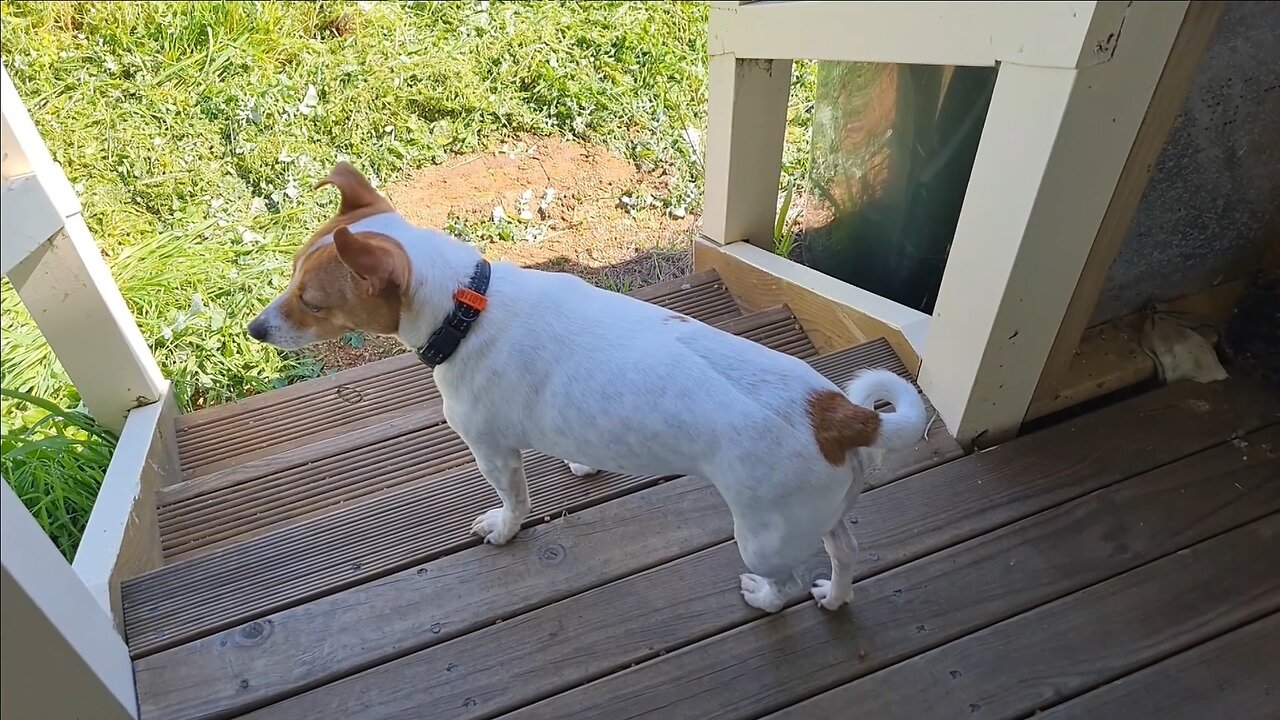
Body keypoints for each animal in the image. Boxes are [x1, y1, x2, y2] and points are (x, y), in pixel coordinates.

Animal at [249, 163, 926, 609]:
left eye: (311, 301)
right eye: (290, 275)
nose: (255, 329)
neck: (468, 307)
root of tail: (839, 413)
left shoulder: (493, 451)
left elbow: (515, 503)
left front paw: (503, 529)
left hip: (765, 536)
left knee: (784, 582)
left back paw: (763, 596)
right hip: (822, 512)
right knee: (846, 552)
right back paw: (835, 597)